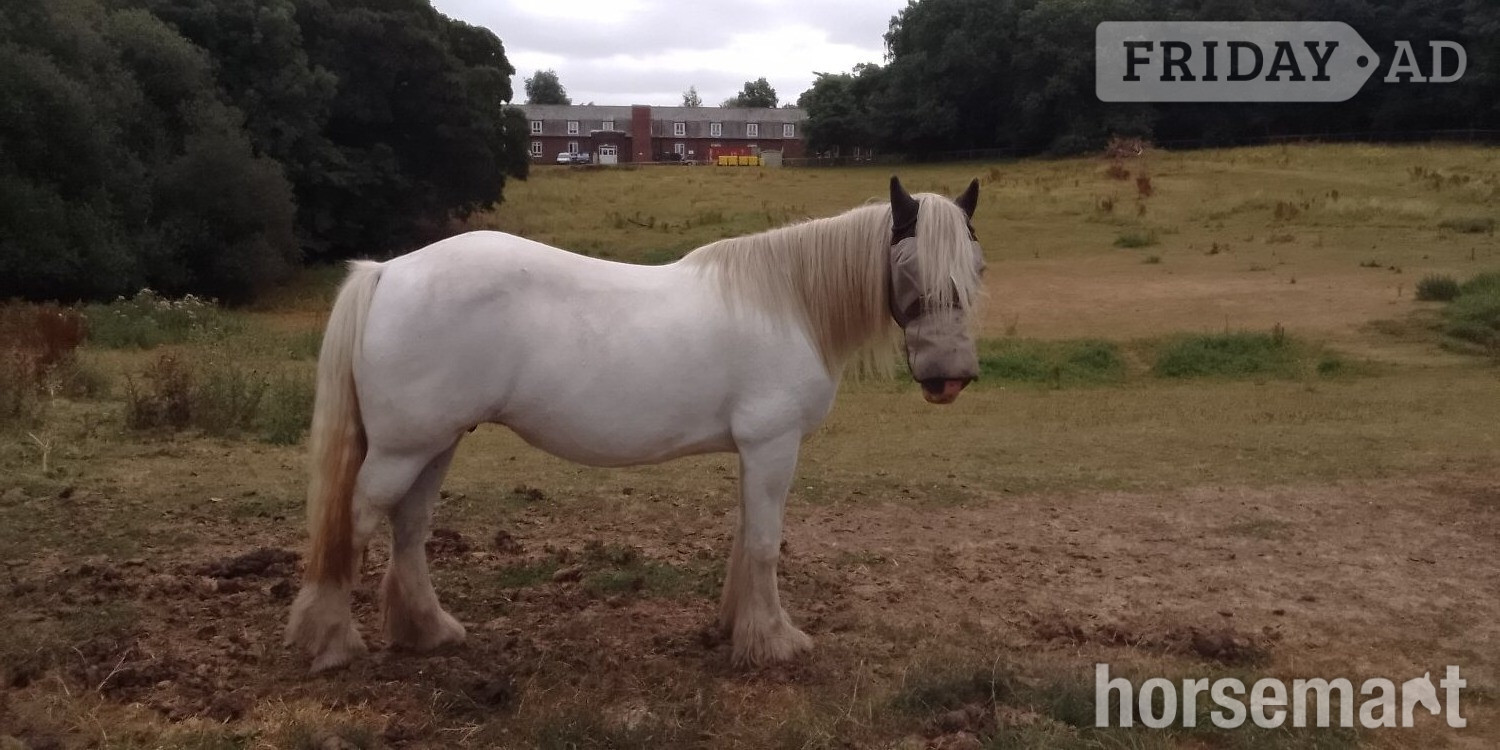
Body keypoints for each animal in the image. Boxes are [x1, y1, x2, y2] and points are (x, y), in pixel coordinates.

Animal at [285, 176, 986, 673]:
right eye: (909, 264)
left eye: (976, 268)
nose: (950, 378)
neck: (789, 303)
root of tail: (387, 271)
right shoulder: (772, 446)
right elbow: (764, 543)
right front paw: (773, 642)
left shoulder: (753, 451)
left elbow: (743, 537)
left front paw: (734, 628)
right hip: (402, 450)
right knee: (354, 525)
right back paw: (332, 643)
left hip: (437, 443)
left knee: (409, 527)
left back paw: (428, 632)